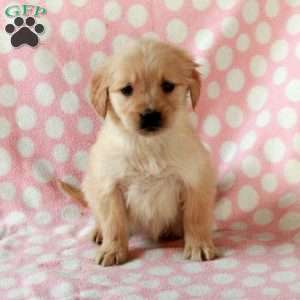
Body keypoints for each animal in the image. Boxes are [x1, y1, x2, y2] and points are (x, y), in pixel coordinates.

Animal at [59, 38, 218, 266]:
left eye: (168, 86)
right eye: (127, 89)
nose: (150, 115)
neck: (147, 146)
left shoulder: (196, 179)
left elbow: (196, 217)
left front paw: (199, 245)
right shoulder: (108, 185)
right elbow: (113, 222)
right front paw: (113, 249)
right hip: (90, 186)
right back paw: (99, 233)